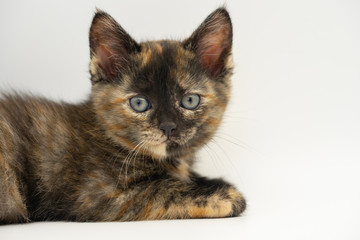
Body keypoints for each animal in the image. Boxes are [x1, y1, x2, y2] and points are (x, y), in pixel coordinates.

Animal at [0, 7, 245, 225]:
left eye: (190, 101)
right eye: (139, 103)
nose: (168, 126)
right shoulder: (102, 196)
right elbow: (166, 189)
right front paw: (227, 195)